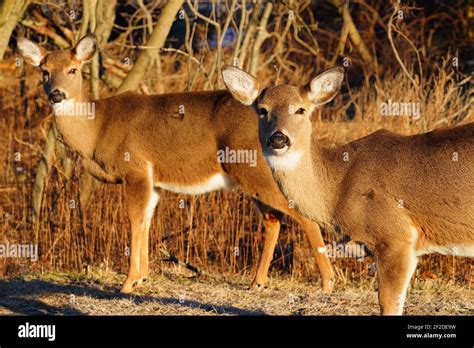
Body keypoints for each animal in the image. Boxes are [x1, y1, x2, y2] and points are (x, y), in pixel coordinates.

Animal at [16, 33, 336, 294]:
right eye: (44, 72)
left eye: (73, 70)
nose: (57, 94)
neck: (97, 129)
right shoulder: (154, 180)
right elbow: (146, 220)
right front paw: (142, 278)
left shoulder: (135, 168)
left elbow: (134, 220)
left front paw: (127, 283)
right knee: (274, 219)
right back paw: (257, 282)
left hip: (256, 171)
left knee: (302, 214)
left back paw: (327, 282)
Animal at [222, 63, 474, 316]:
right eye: (262, 110)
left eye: (301, 110)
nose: (278, 139)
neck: (337, 189)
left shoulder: (396, 237)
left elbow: (388, 304)